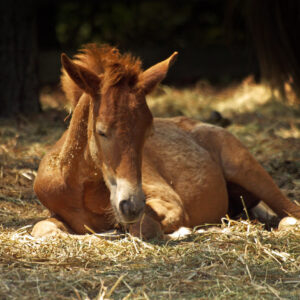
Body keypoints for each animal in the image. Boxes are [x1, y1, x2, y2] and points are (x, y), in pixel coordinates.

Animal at [32, 44, 300, 239]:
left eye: (148, 132)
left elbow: (145, 228)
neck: (80, 188)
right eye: (102, 131)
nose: (131, 205)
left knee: (291, 210)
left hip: (248, 170)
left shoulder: (169, 202)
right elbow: (43, 230)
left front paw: (182, 231)